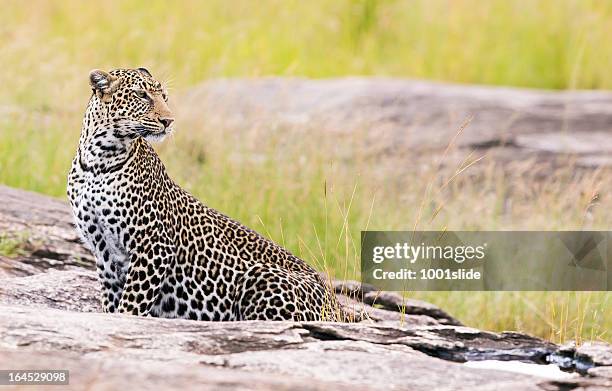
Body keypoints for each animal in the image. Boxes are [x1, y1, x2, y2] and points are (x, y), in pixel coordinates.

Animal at [68, 69, 344, 324]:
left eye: (164, 96)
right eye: (141, 95)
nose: (169, 120)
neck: (98, 160)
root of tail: (338, 306)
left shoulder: (154, 246)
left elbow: (130, 306)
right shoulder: (105, 255)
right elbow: (112, 305)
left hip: (261, 277)